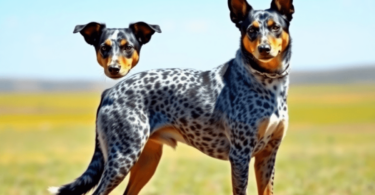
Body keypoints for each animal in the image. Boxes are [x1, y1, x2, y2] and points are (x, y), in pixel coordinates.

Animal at [50, 0, 296, 194]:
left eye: (275, 27)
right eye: (251, 30)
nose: (264, 49)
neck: (268, 81)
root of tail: (110, 91)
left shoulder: (267, 155)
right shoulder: (240, 155)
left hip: (146, 160)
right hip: (123, 157)